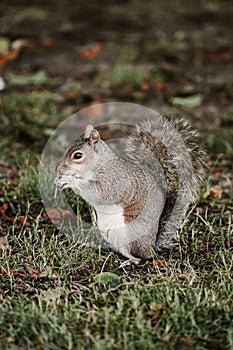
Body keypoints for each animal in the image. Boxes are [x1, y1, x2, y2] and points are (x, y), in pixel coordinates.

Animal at [54, 116, 204, 264]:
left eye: (77, 155)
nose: (58, 169)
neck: (99, 165)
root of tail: (152, 246)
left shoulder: (114, 181)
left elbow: (99, 193)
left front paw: (70, 181)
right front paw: (60, 180)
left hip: (131, 234)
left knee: (141, 257)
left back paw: (131, 260)